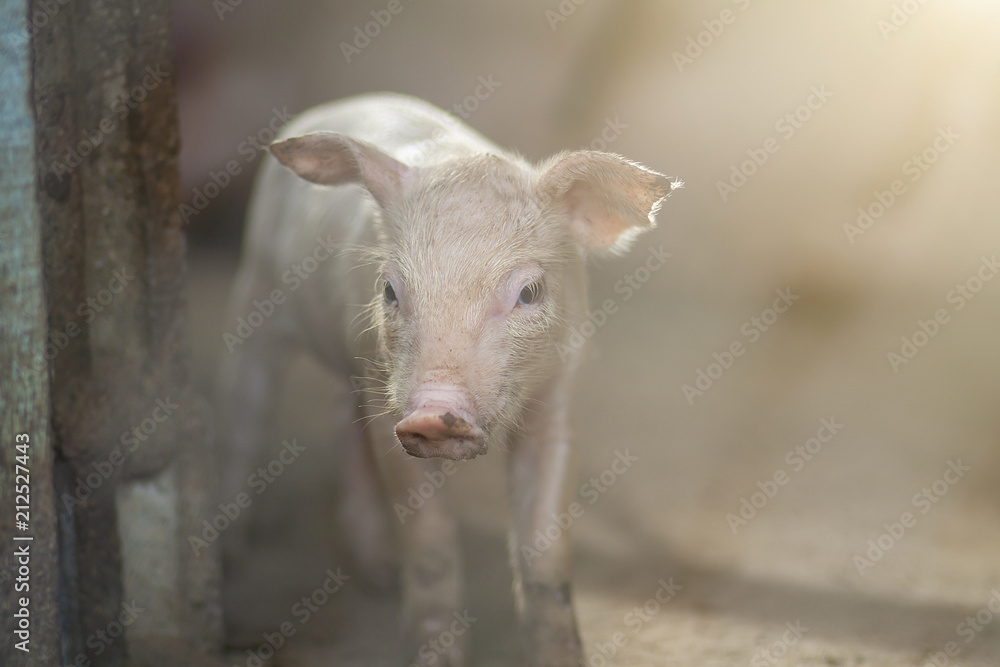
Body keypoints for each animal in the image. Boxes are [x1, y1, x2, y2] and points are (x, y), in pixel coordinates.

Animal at [216, 92, 678, 666]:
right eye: (390, 289)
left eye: (530, 292)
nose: (434, 415)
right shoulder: (391, 409)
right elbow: (431, 540)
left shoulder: (559, 394)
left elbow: (546, 548)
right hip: (256, 294)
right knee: (243, 418)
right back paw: (229, 563)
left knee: (339, 415)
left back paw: (377, 574)